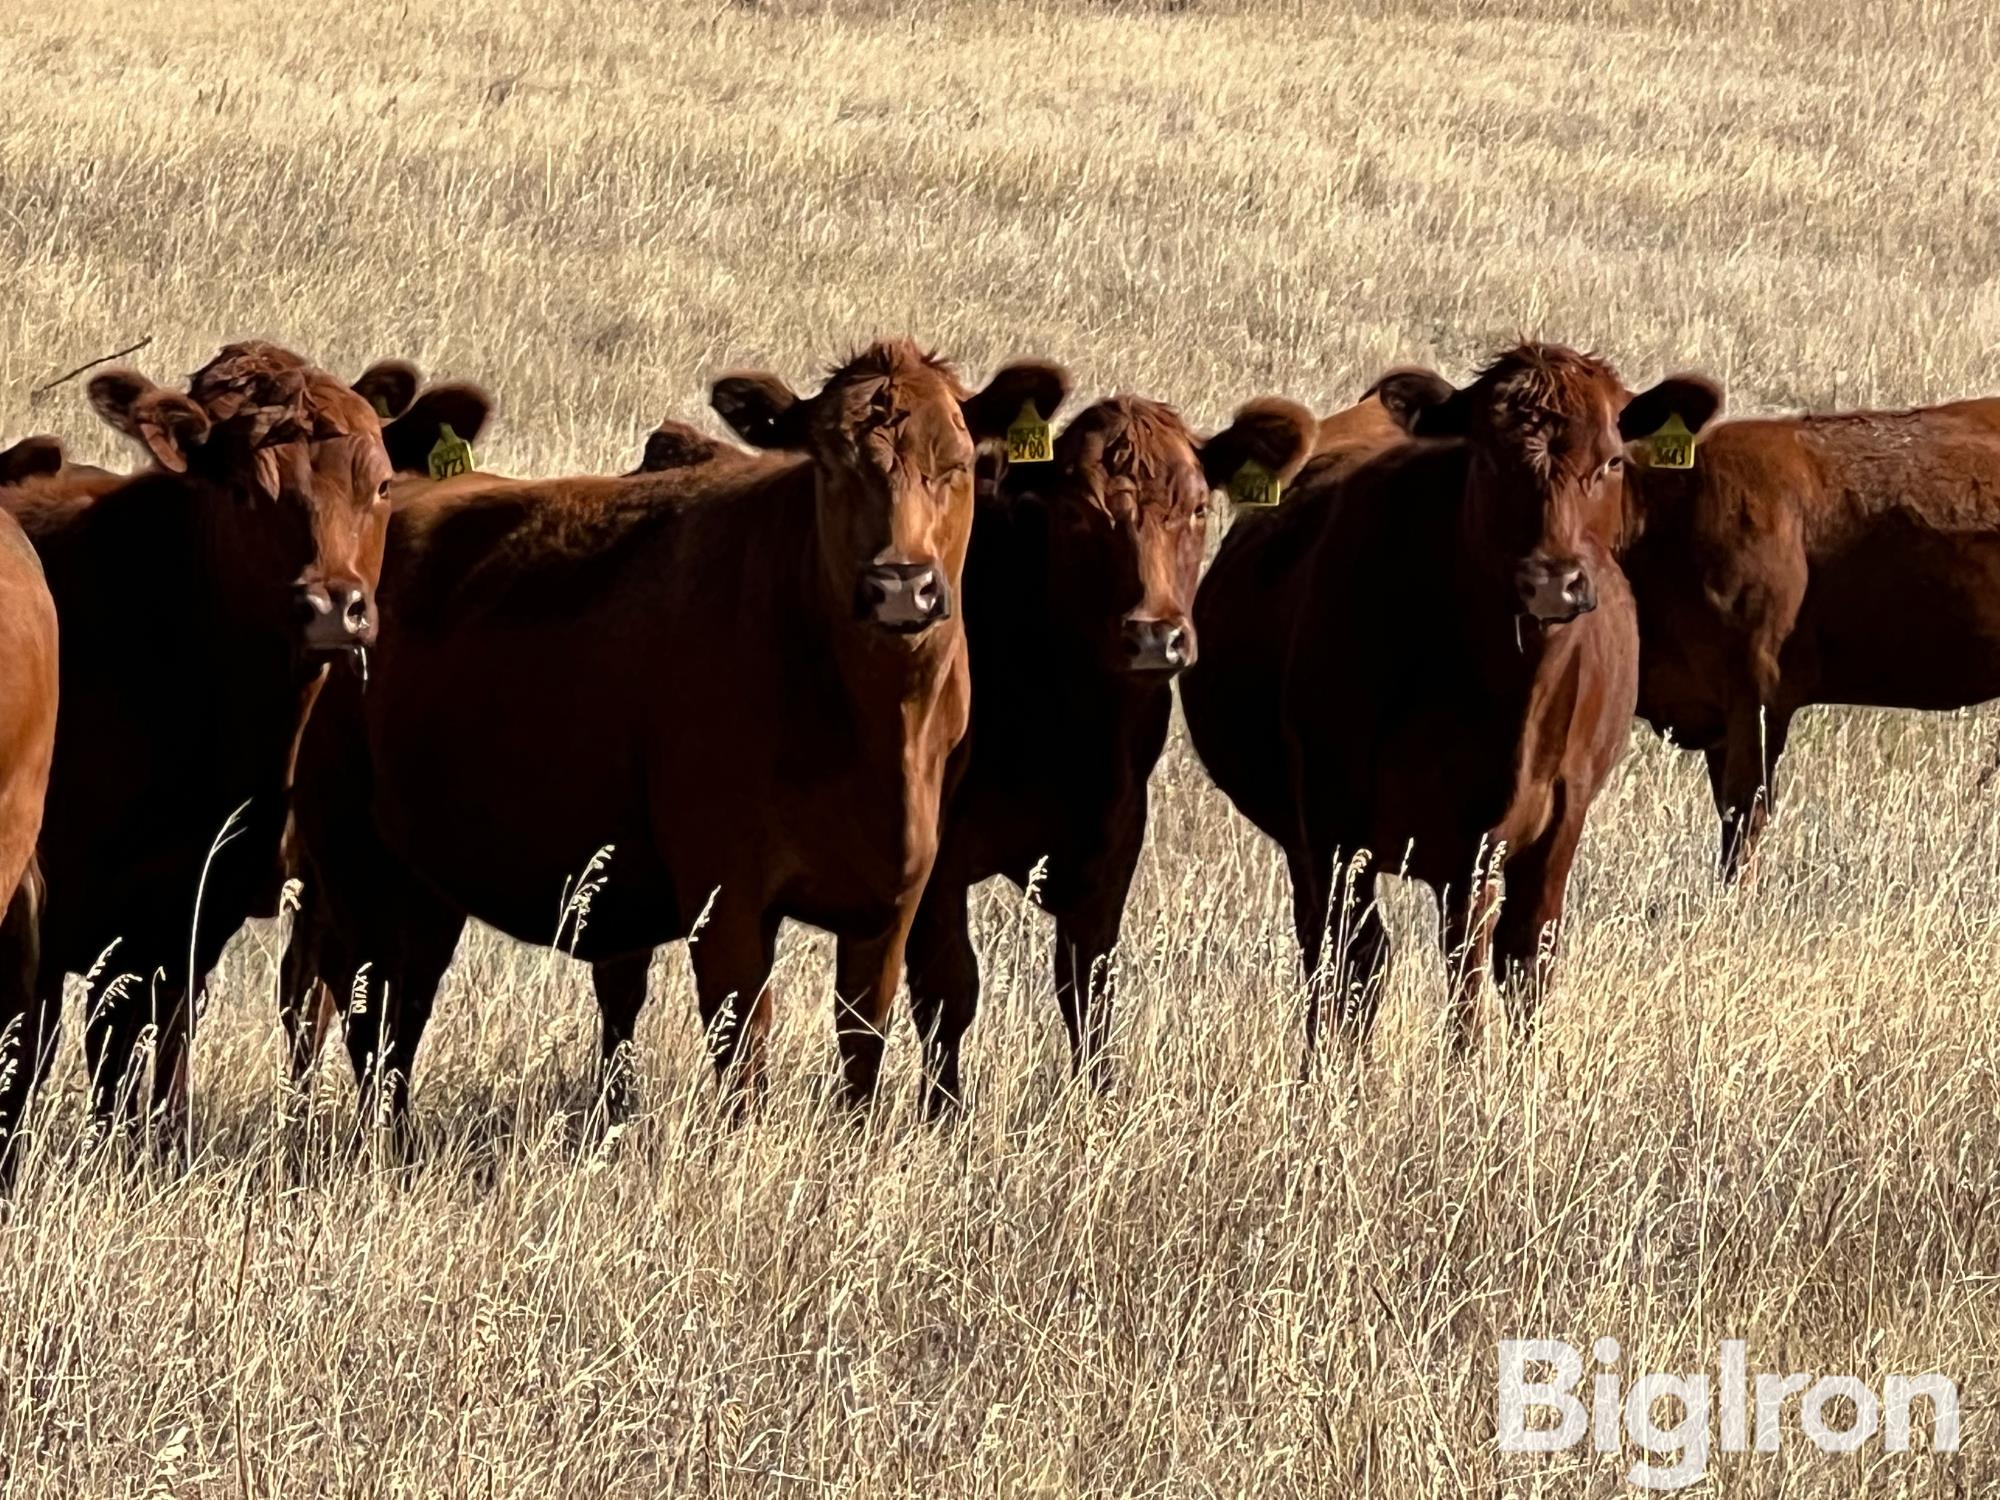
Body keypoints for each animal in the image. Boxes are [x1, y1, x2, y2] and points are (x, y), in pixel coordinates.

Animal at [0, 346, 398, 1168]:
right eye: (248, 490)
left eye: (381, 485)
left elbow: (147, 1048)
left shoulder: (192, 907)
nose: (334, 608)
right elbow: (39, 1047)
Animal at [284, 340, 1072, 1136]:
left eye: (960, 463)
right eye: (828, 465)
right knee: (350, 1008)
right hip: (351, 857)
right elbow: (743, 1047)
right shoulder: (725, 894)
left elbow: (863, 1042)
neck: (874, 728)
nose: (901, 585)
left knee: (397, 1011)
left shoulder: (897, 891)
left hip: (421, 874)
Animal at [1184, 350, 1720, 1056]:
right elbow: (1358, 958)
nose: (1553, 580)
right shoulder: (1332, 816)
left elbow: (1516, 958)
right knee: (1336, 950)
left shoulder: (1549, 819)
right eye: (1488, 461)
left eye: (1611, 463)